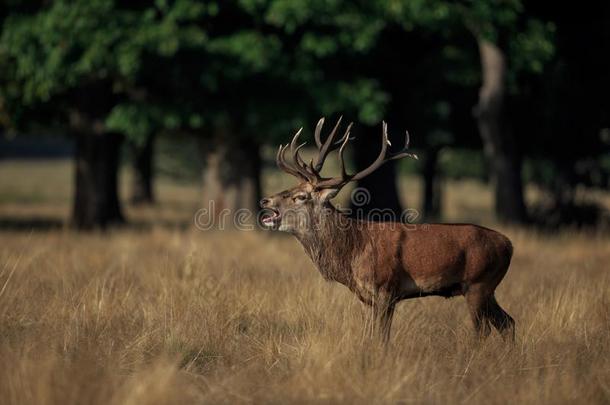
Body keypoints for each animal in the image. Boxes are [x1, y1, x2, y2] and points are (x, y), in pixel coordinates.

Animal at [258, 117, 512, 344]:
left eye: (300, 196)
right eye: (292, 187)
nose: (265, 200)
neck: (352, 251)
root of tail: (508, 244)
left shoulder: (386, 289)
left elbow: (381, 338)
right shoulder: (366, 297)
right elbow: (368, 337)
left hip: (478, 283)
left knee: (483, 331)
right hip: (488, 289)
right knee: (508, 323)